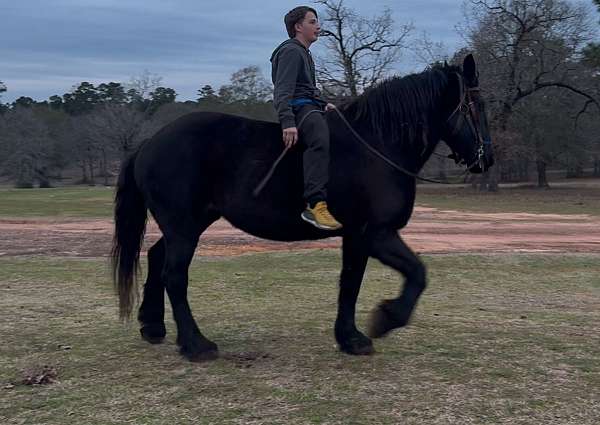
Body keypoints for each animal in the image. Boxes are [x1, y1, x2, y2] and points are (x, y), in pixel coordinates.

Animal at [111, 53, 492, 362]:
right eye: (478, 105)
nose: (486, 159)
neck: (377, 146)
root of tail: (151, 141)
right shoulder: (376, 234)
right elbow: (417, 273)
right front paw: (385, 319)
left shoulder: (355, 237)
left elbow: (350, 283)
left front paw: (350, 338)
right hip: (183, 227)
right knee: (174, 275)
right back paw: (195, 345)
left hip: (187, 224)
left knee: (156, 257)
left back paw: (153, 327)